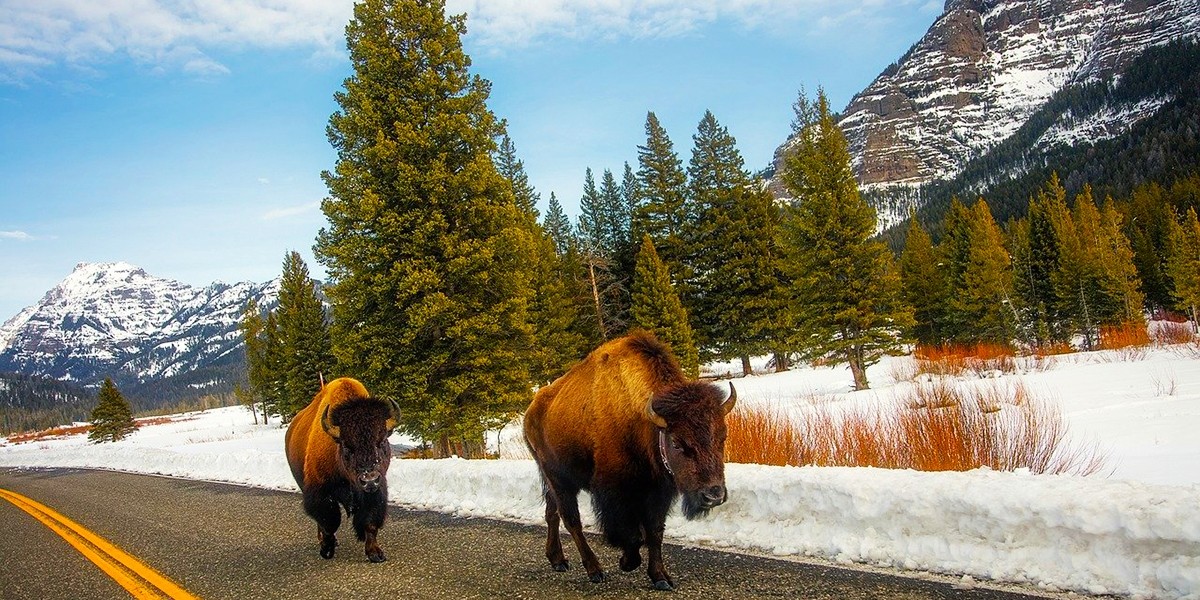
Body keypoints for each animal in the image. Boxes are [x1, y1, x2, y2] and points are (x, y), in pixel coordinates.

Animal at [286, 376, 400, 559]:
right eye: (347, 447)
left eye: (382, 441)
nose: (369, 480)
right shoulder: (321, 493)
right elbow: (329, 522)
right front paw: (326, 550)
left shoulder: (376, 492)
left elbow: (370, 522)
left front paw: (375, 554)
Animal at [528, 333, 734, 590]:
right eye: (676, 443)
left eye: (723, 437)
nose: (713, 495)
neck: (642, 421)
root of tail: (532, 409)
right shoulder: (615, 493)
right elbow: (632, 534)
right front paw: (627, 562)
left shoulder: (657, 492)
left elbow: (654, 532)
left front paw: (661, 578)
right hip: (558, 478)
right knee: (571, 520)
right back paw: (595, 571)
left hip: (553, 482)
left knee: (552, 513)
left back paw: (558, 560)